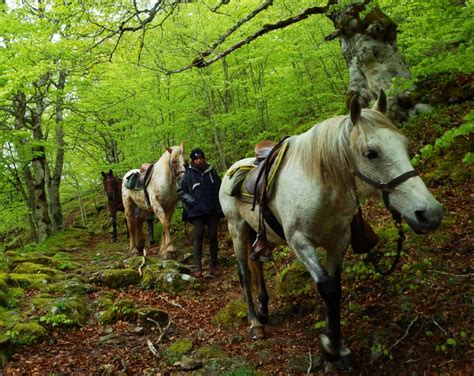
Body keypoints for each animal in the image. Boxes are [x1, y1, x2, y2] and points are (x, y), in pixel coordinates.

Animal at [219, 92, 444, 370]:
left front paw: (336, 344)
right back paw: (254, 322)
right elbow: (327, 287)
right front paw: (332, 346)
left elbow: (335, 287)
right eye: (371, 153)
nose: (430, 214)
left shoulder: (340, 239)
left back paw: (263, 310)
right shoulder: (300, 241)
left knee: (257, 264)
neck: (322, 185)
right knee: (244, 273)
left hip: (259, 234)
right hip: (237, 229)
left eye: (405, 145)